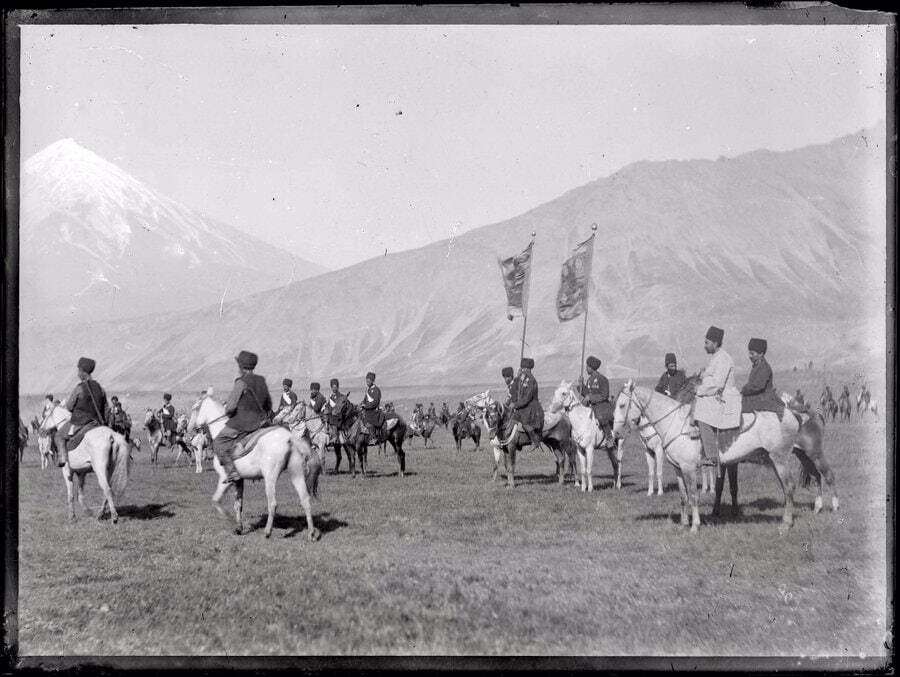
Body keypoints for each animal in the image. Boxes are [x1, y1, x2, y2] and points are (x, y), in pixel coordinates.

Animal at [186, 390, 324, 540]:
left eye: (194, 408)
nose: (189, 430)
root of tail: (289, 438)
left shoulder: (224, 479)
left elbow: (216, 501)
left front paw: (231, 521)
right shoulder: (238, 480)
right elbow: (238, 504)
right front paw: (238, 528)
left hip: (270, 477)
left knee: (273, 503)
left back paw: (267, 531)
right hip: (296, 473)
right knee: (305, 499)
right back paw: (311, 533)